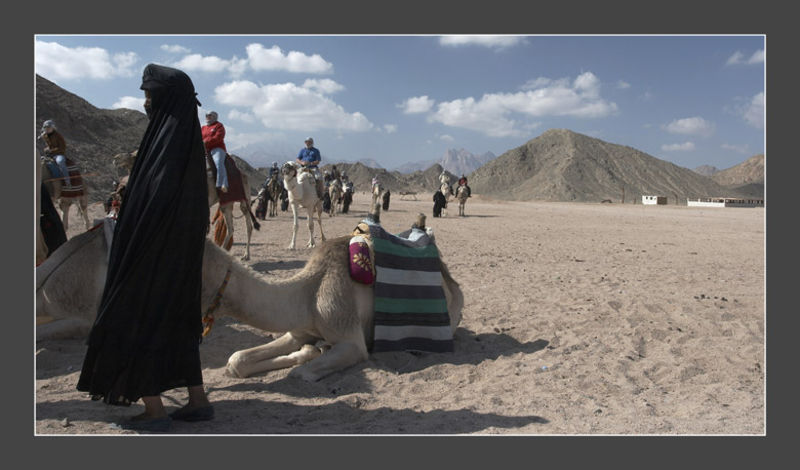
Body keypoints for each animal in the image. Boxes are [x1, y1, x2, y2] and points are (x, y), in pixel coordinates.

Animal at [35, 210, 464, 382]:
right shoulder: (297, 324)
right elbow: (236, 359)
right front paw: (307, 350)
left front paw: (310, 357)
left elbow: (303, 372)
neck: (307, 291)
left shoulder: (349, 337)